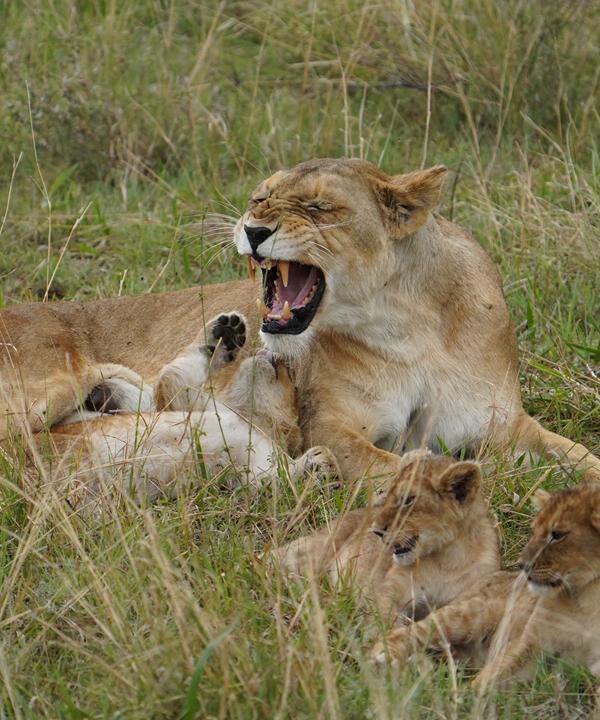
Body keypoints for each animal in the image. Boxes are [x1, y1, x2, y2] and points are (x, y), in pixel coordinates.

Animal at [2, 159, 598, 483]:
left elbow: (582, 457)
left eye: (317, 207)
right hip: (52, 382)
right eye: (260, 197)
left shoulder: (503, 424)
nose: (253, 229)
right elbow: (399, 466)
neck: (411, 328)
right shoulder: (329, 425)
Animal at [271, 450, 500, 620]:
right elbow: (386, 622)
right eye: (387, 496)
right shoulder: (385, 591)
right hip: (316, 549)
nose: (376, 530)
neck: (446, 559)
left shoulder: (466, 596)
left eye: (407, 500)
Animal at [371, 483, 600, 690]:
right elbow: (489, 678)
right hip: (472, 612)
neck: (586, 599)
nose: (523, 565)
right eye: (534, 531)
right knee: (417, 629)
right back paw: (385, 655)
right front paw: (465, 701)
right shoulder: (531, 644)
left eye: (557, 535)